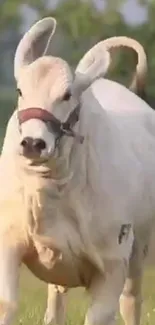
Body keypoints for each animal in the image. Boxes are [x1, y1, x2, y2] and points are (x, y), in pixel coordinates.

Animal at [0, 16, 153, 324]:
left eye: (67, 95)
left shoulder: (113, 265)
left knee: (131, 302)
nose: (33, 143)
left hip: (139, 253)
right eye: (21, 91)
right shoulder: (7, 244)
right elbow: (7, 304)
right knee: (55, 306)